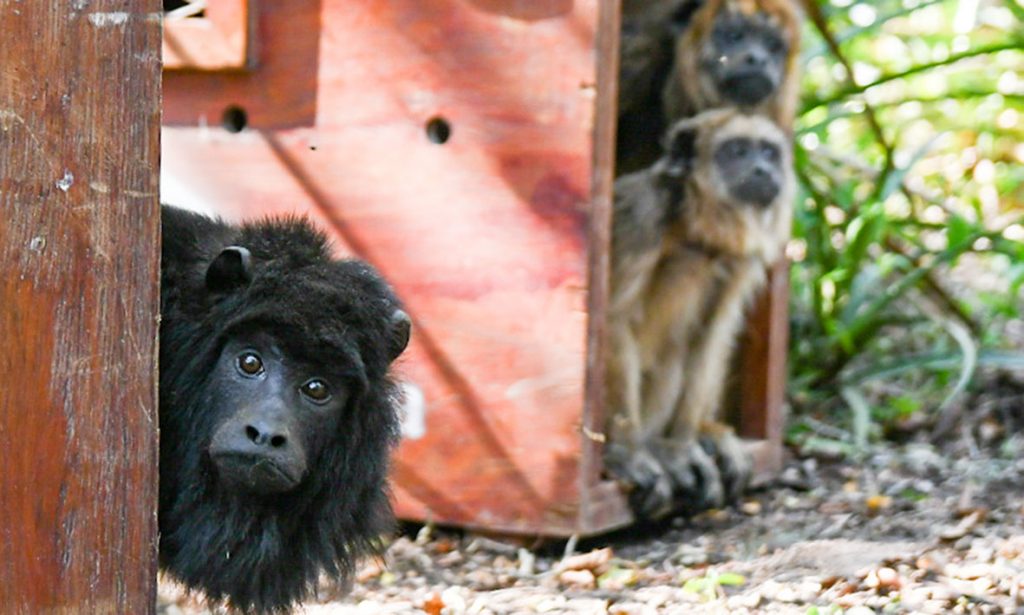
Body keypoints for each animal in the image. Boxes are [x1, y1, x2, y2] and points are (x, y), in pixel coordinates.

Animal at [605, 109, 794, 518]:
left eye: (769, 153)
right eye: (736, 151)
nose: (761, 169)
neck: (695, 231)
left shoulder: (739, 260)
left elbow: (711, 332)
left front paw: (680, 448)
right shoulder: (642, 216)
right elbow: (612, 321)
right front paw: (627, 454)